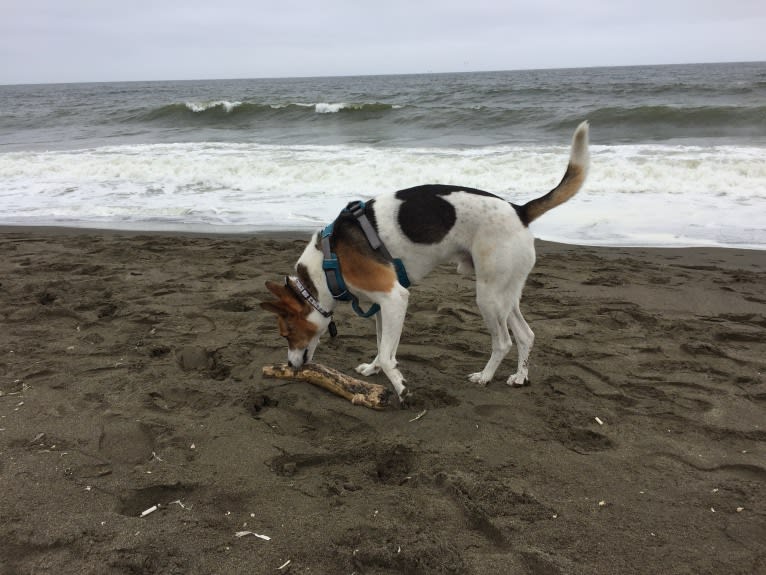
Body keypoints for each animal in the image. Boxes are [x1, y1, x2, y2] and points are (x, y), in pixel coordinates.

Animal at [260, 121, 592, 400]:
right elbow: (382, 346)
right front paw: (374, 369)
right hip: (504, 293)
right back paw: (520, 377)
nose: (291, 366)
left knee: (504, 342)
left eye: (287, 333)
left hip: (488, 296)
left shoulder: (395, 298)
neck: (328, 262)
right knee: (525, 335)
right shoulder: (382, 306)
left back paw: (485, 376)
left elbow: (387, 354)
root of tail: (519, 210)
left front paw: (398, 384)